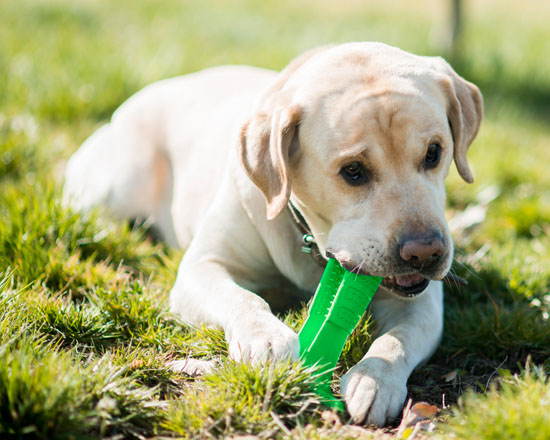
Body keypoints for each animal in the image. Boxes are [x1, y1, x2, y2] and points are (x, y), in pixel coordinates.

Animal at [63, 43, 484, 424]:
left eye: (434, 153)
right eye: (353, 171)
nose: (425, 253)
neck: (311, 242)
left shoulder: (423, 304)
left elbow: (398, 339)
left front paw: (375, 379)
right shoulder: (201, 268)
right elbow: (243, 299)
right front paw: (265, 338)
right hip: (115, 187)